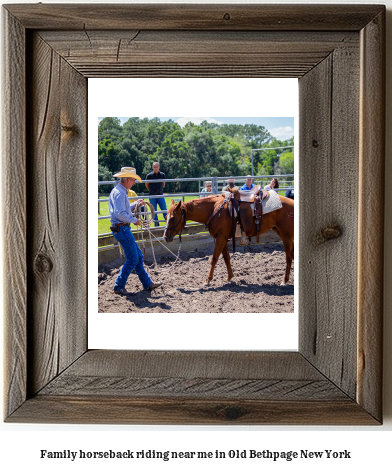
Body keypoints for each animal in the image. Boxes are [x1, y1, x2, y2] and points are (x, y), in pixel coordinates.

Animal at [162, 191, 294, 286]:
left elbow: (214, 258)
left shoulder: (220, 238)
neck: (215, 209)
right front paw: (229, 277)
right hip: (281, 232)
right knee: (291, 256)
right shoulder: (223, 237)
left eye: (173, 218)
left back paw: (284, 280)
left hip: (286, 235)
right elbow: (226, 258)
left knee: (288, 257)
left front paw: (207, 280)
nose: (166, 237)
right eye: (166, 217)